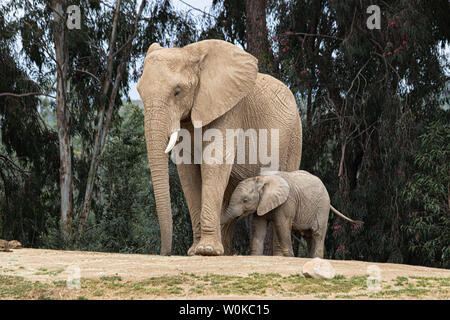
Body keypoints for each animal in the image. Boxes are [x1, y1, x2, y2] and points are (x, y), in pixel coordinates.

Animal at [137, 40, 302, 256]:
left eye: (177, 91)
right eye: (139, 92)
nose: (165, 253)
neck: (191, 54)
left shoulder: (230, 108)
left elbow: (215, 160)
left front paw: (206, 250)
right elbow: (188, 171)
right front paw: (196, 251)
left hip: (294, 137)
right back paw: (227, 252)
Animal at [220, 170, 364, 258]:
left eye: (245, 200)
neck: (262, 180)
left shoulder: (287, 202)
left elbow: (282, 225)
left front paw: (289, 257)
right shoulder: (260, 204)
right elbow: (258, 227)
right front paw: (255, 256)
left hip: (322, 206)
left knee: (317, 233)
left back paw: (316, 258)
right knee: (309, 236)